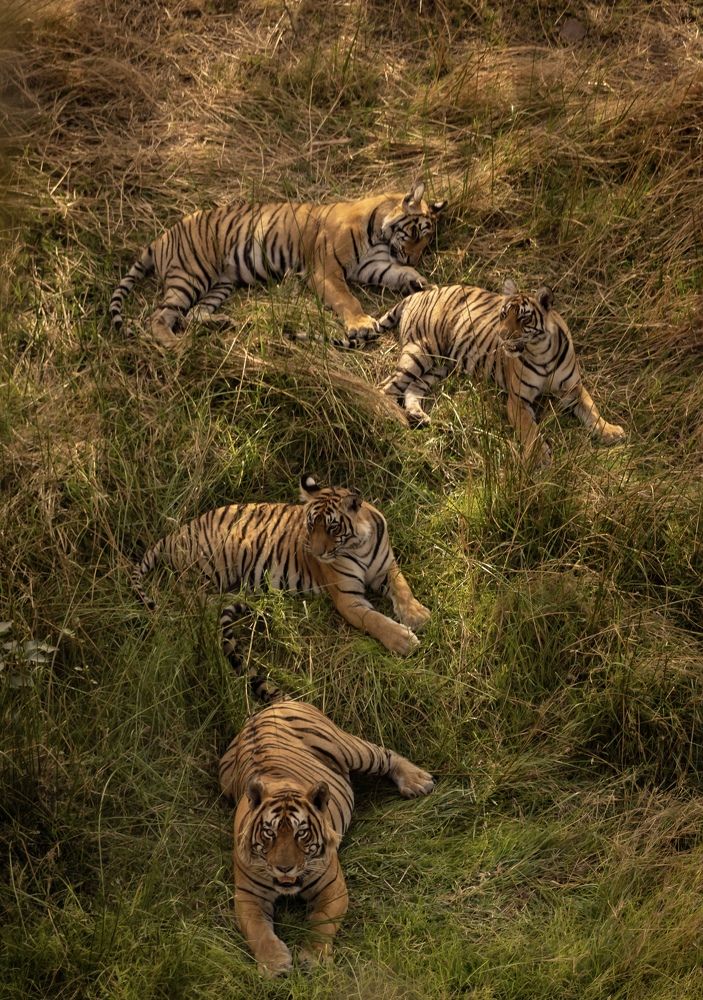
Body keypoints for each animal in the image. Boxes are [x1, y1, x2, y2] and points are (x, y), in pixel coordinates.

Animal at [109, 181, 446, 351]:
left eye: (425, 242)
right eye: (416, 234)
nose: (412, 258)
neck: (379, 234)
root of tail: (161, 237)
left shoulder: (373, 265)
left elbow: (397, 274)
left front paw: (421, 282)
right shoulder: (326, 271)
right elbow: (346, 299)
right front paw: (361, 325)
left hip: (221, 283)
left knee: (193, 314)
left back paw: (222, 323)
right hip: (191, 276)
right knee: (158, 317)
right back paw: (176, 346)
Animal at [132, 474, 430, 666]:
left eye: (333, 527)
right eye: (311, 524)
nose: (317, 553)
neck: (360, 544)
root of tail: (176, 533)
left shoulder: (386, 567)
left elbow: (403, 587)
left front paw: (417, 615)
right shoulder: (347, 598)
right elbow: (375, 620)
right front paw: (404, 641)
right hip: (217, 559)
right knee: (188, 593)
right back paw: (228, 600)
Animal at [219, 697, 434, 976]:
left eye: (301, 833)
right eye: (269, 832)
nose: (284, 868)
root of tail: (275, 704)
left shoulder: (333, 887)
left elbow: (322, 923)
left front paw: (314, 958)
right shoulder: (248, 895)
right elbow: (258, 931)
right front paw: (275, 963)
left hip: (352, 749)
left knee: (385, 754)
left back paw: (417, 781)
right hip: (224, 779)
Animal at [377, 278, 627, 465]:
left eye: (524, 318)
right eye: (503, 314)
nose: (502, 335)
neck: (541, 352)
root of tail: (421, 293)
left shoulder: (573, 388)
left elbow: (592, 410)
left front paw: (610, 431)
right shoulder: (517, 400)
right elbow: (529, 430)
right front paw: (539, 456)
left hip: (441, 365)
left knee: (412, 386)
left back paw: (418, 415)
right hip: (421, 351)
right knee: (386, 387)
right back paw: (390, 419)